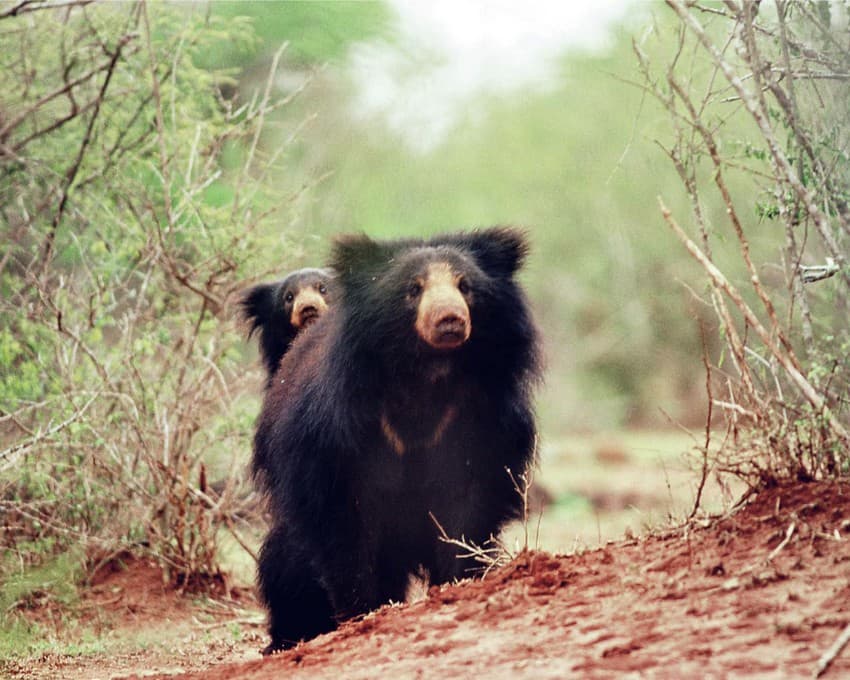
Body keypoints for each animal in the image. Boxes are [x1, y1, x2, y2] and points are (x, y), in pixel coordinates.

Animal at [255, 227, 540, 652]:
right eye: (413, 289)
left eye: (466, 286)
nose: (450, 319)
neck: (425, 374)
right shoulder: (334, 435)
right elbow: (342, 522)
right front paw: (363, 610)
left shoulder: (481, 419)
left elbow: (469, 503)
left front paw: (458, 583)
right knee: (287, 567)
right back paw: (291, 635)